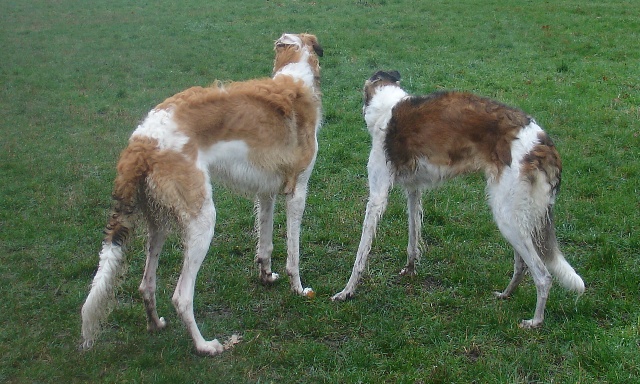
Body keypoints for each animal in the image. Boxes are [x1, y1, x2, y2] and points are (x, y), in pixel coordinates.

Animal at [82, 33, 322, 354]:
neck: (295, 75)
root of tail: (142, 142)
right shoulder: (297, 191)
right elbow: (293, 255)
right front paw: (298, 288)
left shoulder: (265, 193)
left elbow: (266, 245)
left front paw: (266, 276)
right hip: (202, 220)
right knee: (181, 297)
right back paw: (205, 346)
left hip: (159, 222)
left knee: (146, 285)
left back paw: (155, 324)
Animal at [332, 70, 588, 328]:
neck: (388, 107)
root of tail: (542, 141)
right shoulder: (414, 190)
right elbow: (413, 238)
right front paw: (410, 270)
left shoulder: (377, 196)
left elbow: (361, 253)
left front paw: (347, 291)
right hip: (516, 217)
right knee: (522, 265)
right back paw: (506, 294)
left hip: (507, 216)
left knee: (543, 276)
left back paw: (535, 321)